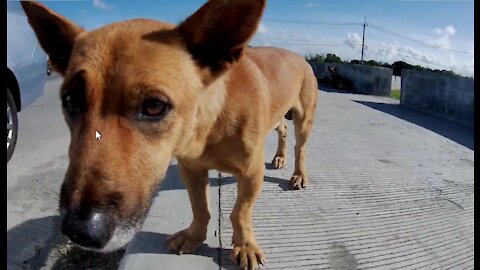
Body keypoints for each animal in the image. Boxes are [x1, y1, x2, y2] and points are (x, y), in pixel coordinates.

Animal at [20, 1, 316, 268]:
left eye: (154, 106)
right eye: (70, 101)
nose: (79, 231)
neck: (208, 125)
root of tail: (296, 55)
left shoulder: (251, 173)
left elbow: (239, 213)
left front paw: (244, 245)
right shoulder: (191, 170)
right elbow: (200, 207)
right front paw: (195, 236)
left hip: (304, 120)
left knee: (300, 147)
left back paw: (299, 173)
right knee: (282, 130)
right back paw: (279, 156)